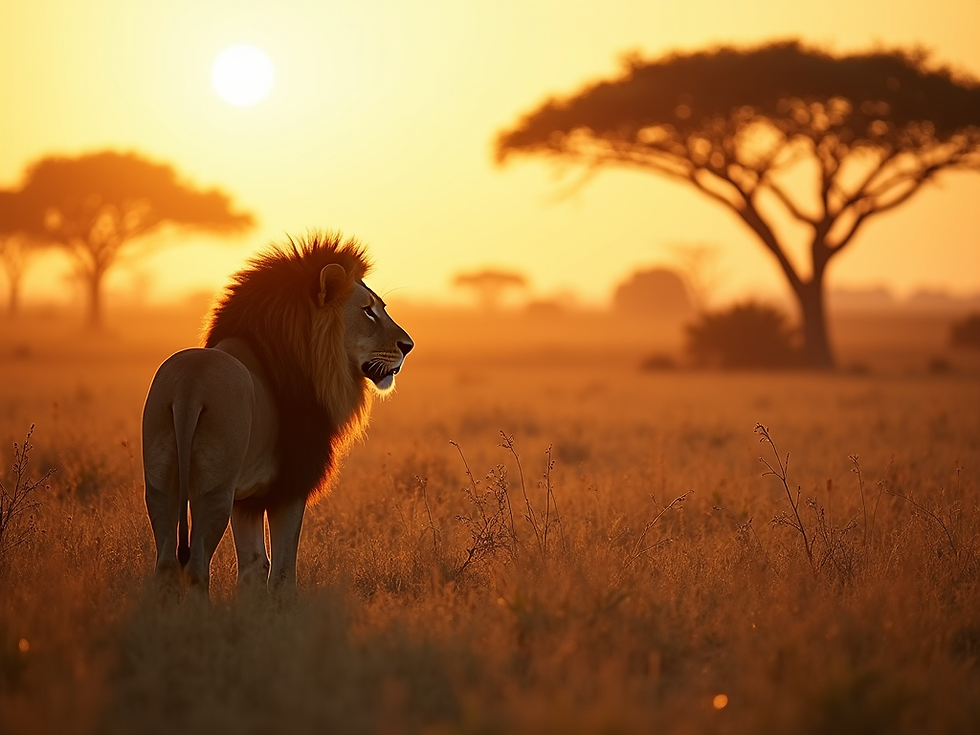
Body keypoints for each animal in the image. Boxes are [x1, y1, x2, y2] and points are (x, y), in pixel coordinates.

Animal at [141, 231, 413, 593]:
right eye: (368, 311)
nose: (408, 346)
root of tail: (189, 385)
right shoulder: (290, 486)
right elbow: (283, 569)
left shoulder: (247, 499)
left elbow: (255, 564)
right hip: (214, 491)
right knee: (197, 565)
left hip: (160, 484)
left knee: (167, 564)